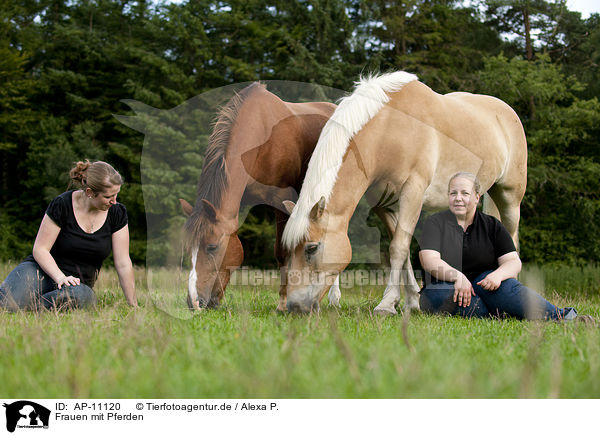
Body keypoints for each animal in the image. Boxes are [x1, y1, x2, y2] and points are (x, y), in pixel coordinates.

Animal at [179, 82, 342, 312]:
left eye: (212, 247)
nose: (194, 302)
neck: (261, 138)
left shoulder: (282, 202)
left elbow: (282, 252)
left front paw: (283, 302)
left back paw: (334, 296)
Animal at [282, 72, 524, 316]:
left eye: (312, 248)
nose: (294, 306)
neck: (389, 128)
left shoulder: (413, 193)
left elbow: (398, 248)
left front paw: (387, 304)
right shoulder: (385, 205)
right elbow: (403, 248)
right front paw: (412, 301)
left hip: (510, 198)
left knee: (512, 237)